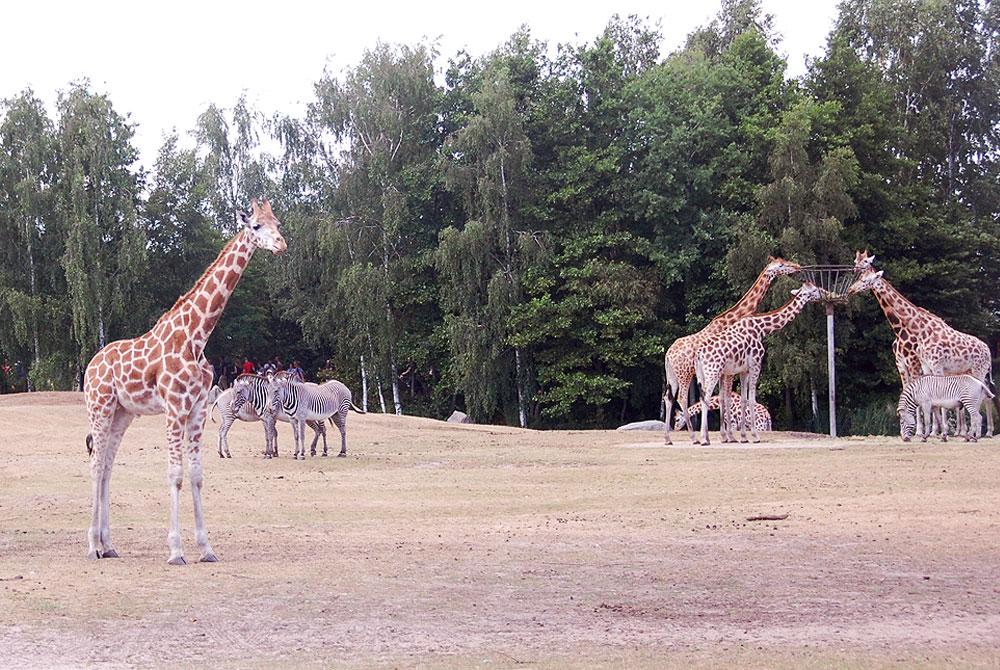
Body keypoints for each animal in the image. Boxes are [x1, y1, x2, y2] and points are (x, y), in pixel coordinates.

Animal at [82, 201, 288, 568]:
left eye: (277, 223)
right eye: (256, 226)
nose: (281, 244)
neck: (196, 336)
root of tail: (91, 365)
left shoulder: (198, 409)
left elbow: (196, 474)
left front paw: (206, 549)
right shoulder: (175, 407)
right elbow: (175, 474)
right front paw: (176, 551)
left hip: (123, 413)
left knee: (106, 466)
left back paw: (109, 545)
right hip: (100, 406)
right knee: (95, 465)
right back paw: (93, 546)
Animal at [664, 258, 804, 446]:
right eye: (782, 265)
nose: (798, 267)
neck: (730, 320)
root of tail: (668, 355)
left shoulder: (725, 371)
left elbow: (725, 398)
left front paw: (726, 436)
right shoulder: (727, 371)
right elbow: (727, 398)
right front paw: (729, 437)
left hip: (672, 375)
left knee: (668, 397)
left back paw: (669, 439)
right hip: (685, 373)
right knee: (682, 398)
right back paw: (694, 438)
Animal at [692, 284, 824, 446]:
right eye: (814, 290)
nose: (823, 294)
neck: (762, 329)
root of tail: (699, 354)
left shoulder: (743, 370)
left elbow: (743, 400)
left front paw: (743, 437)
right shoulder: (756, 365)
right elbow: (752, 399)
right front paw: (755, 436)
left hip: (703, 374)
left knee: (705, 398)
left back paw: (709, 437)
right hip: (713, 372)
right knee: (706, 398)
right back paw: (704, 439)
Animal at [848, 266, 996, 438]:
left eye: (864, 280)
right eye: (860, 276)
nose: (851, 290)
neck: (919, 330)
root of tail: (988, 350)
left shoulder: (930, 365)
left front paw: (932, 431)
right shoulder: (916, 366)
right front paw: (931, 432)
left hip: (979, 370)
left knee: (984, 397)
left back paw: (980, 432)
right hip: (968, 372)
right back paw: (970, 432)